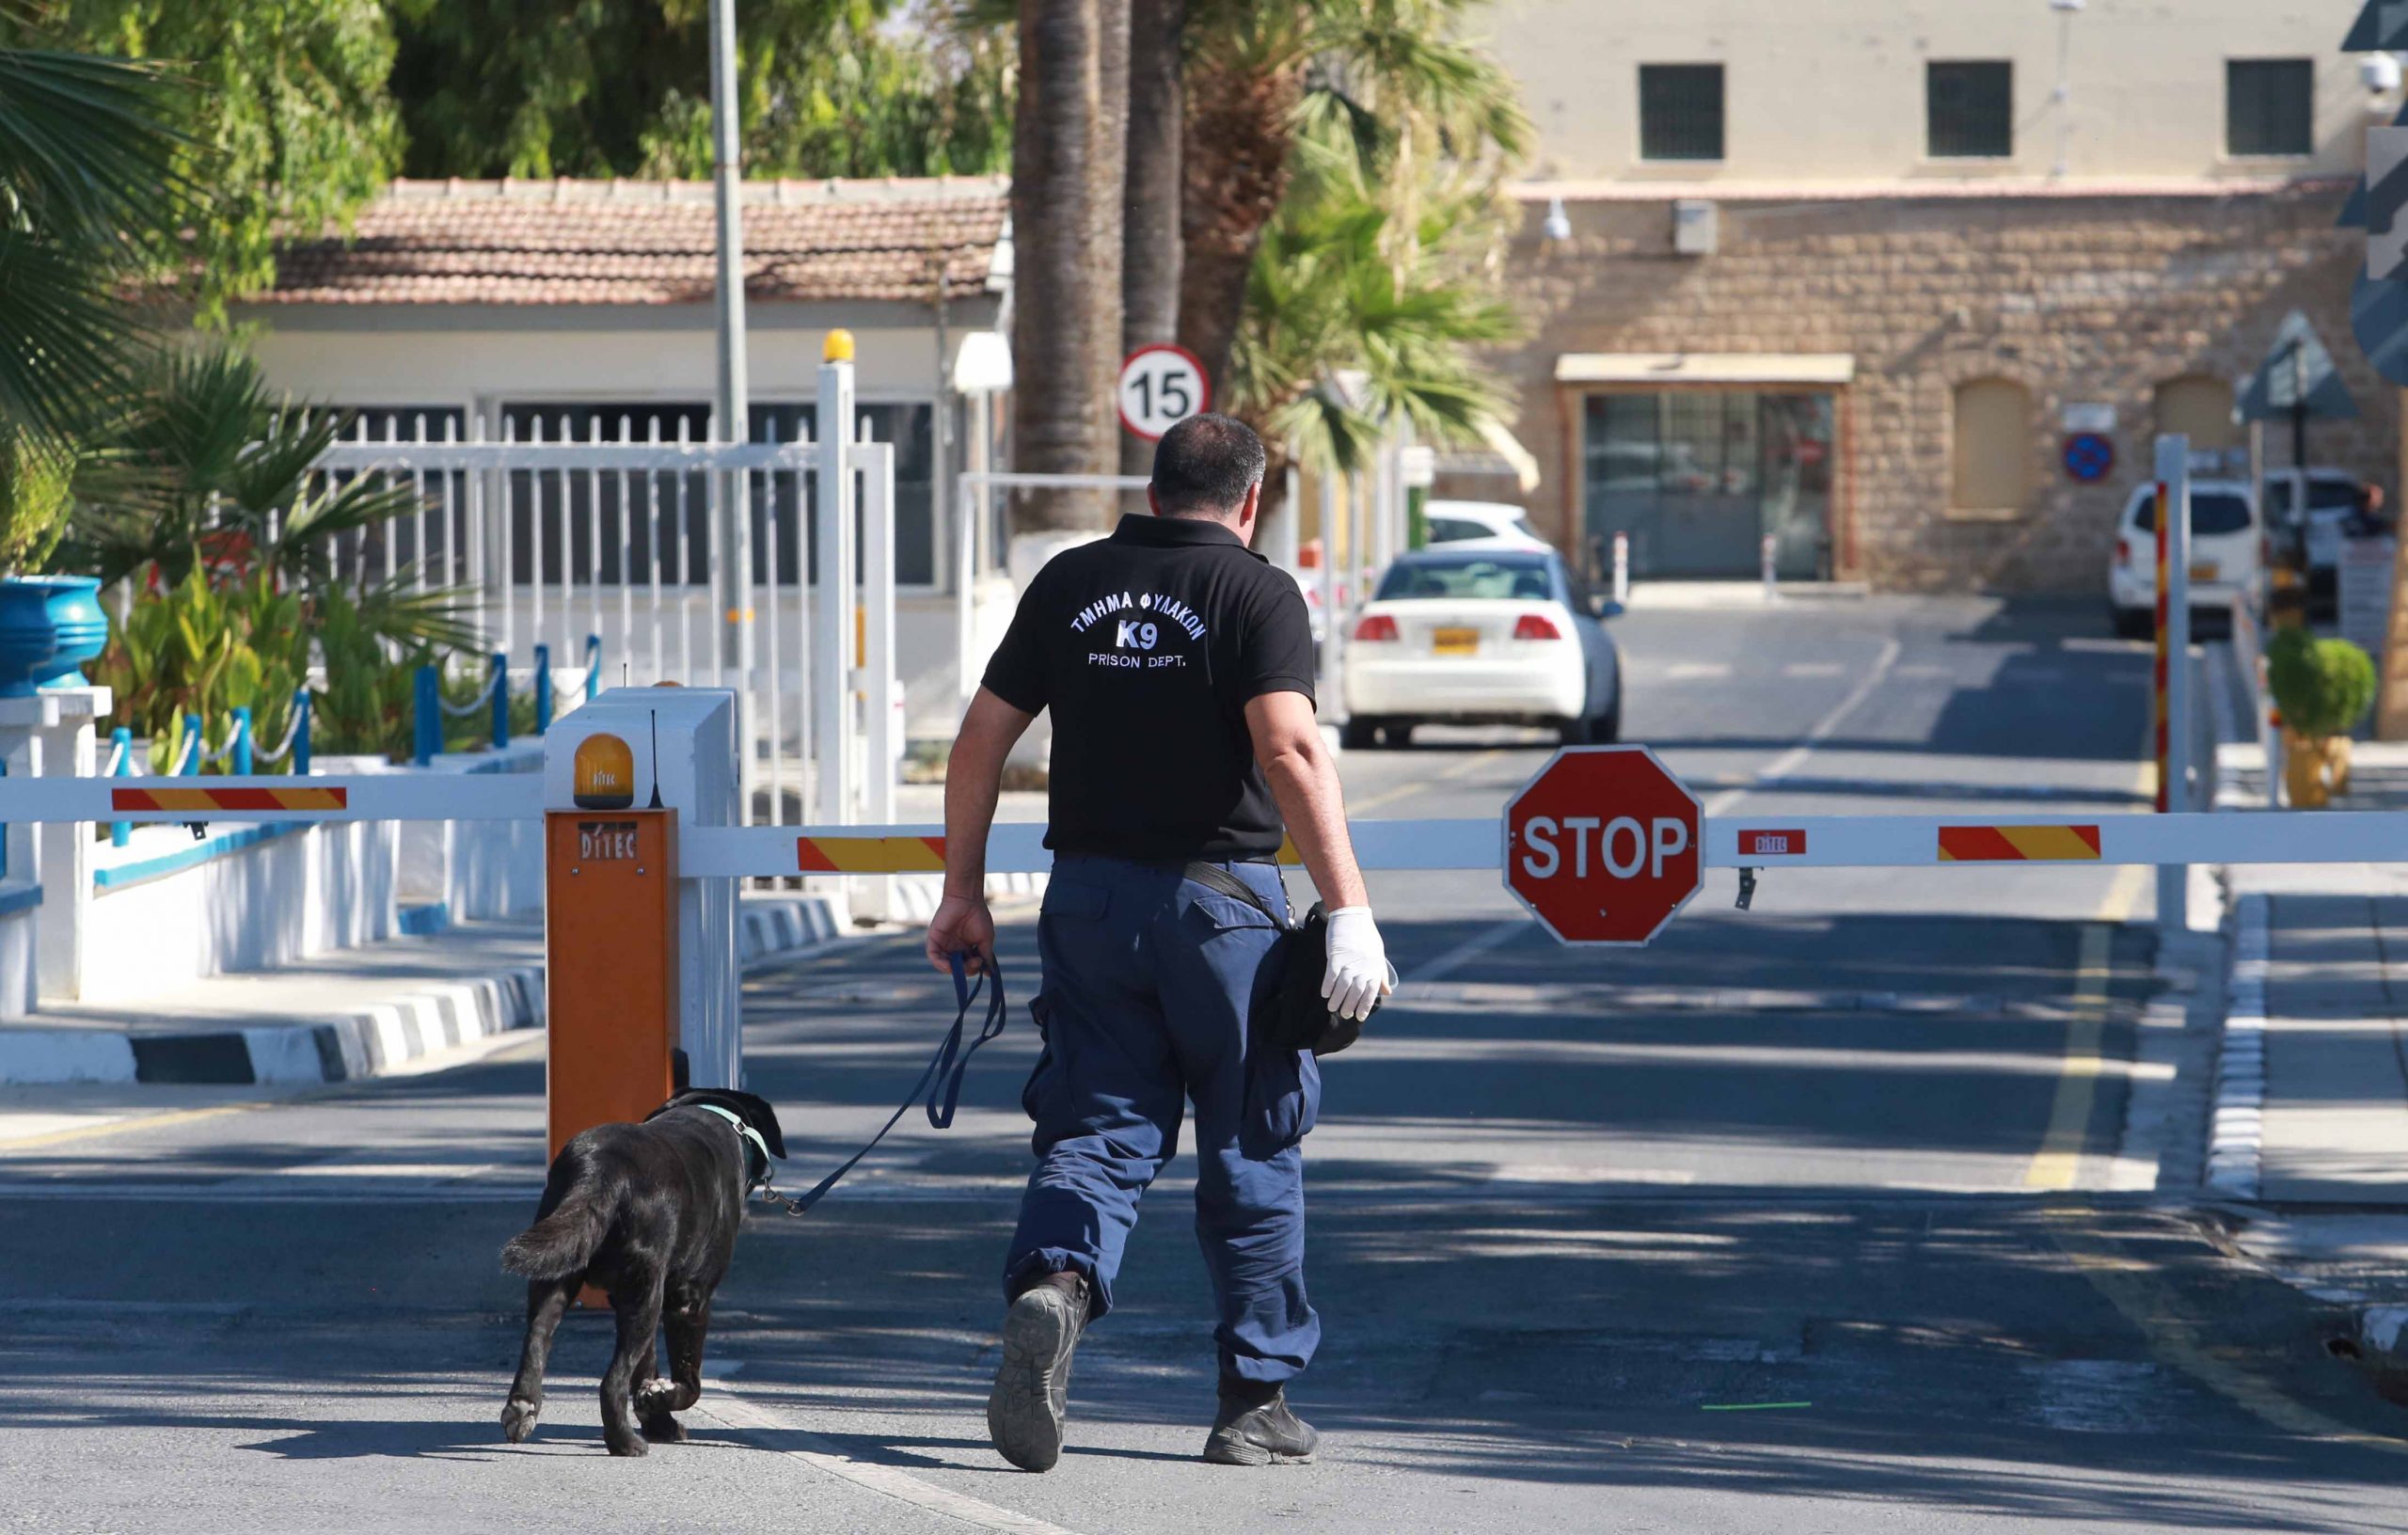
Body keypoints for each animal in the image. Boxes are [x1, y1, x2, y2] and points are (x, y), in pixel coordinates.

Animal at [498, 1087, 789, 1463]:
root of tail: (600, 1167)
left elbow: (645, 1368)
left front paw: (657, 1416)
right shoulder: (689, 1298)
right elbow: (689, 1380)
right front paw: (662, 1399)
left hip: (561, 1269)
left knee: (538, 1335)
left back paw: (523, 1407)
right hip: (645, 1294)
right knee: (611, 1382)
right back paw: (624, 1442)